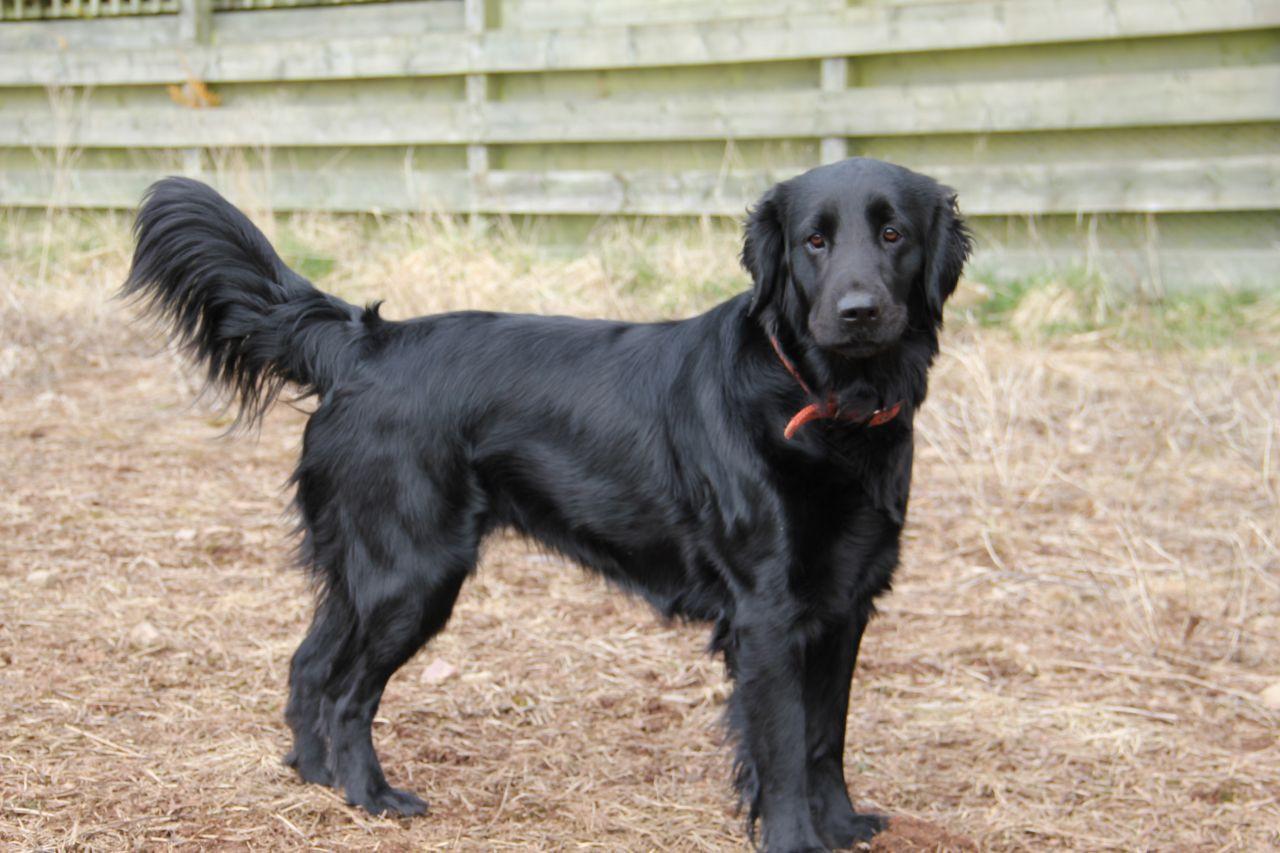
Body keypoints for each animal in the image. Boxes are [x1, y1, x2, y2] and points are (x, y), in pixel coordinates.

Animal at [127, 161, 967, 850]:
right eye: (813, 241)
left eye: (892, 232)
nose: (857, 311)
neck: (824, 405)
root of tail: (365, 341)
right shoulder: (767, 613)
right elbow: (787, 745)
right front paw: (797, 839)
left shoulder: (845, 604)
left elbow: (828, 735)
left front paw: (844, 825)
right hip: (412, 573)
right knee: (345, 692)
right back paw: (371, 795)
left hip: (368, 569)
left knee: (307, 664)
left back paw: (313, 776)